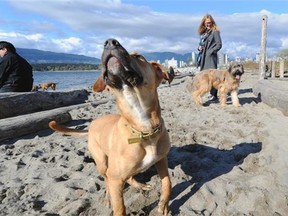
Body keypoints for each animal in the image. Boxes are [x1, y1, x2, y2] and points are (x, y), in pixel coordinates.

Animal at [48, 38, 172, 216]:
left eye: (139, 56)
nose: (110, 42)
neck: (143, 129)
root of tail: (92, 124)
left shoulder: (161, 160)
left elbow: (167, 183)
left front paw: (164, 205)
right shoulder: (115, 178)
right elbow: (120, 207)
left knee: (129, 176)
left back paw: (139, 185)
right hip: (102, 163)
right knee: (106, 179)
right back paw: (108, 197)